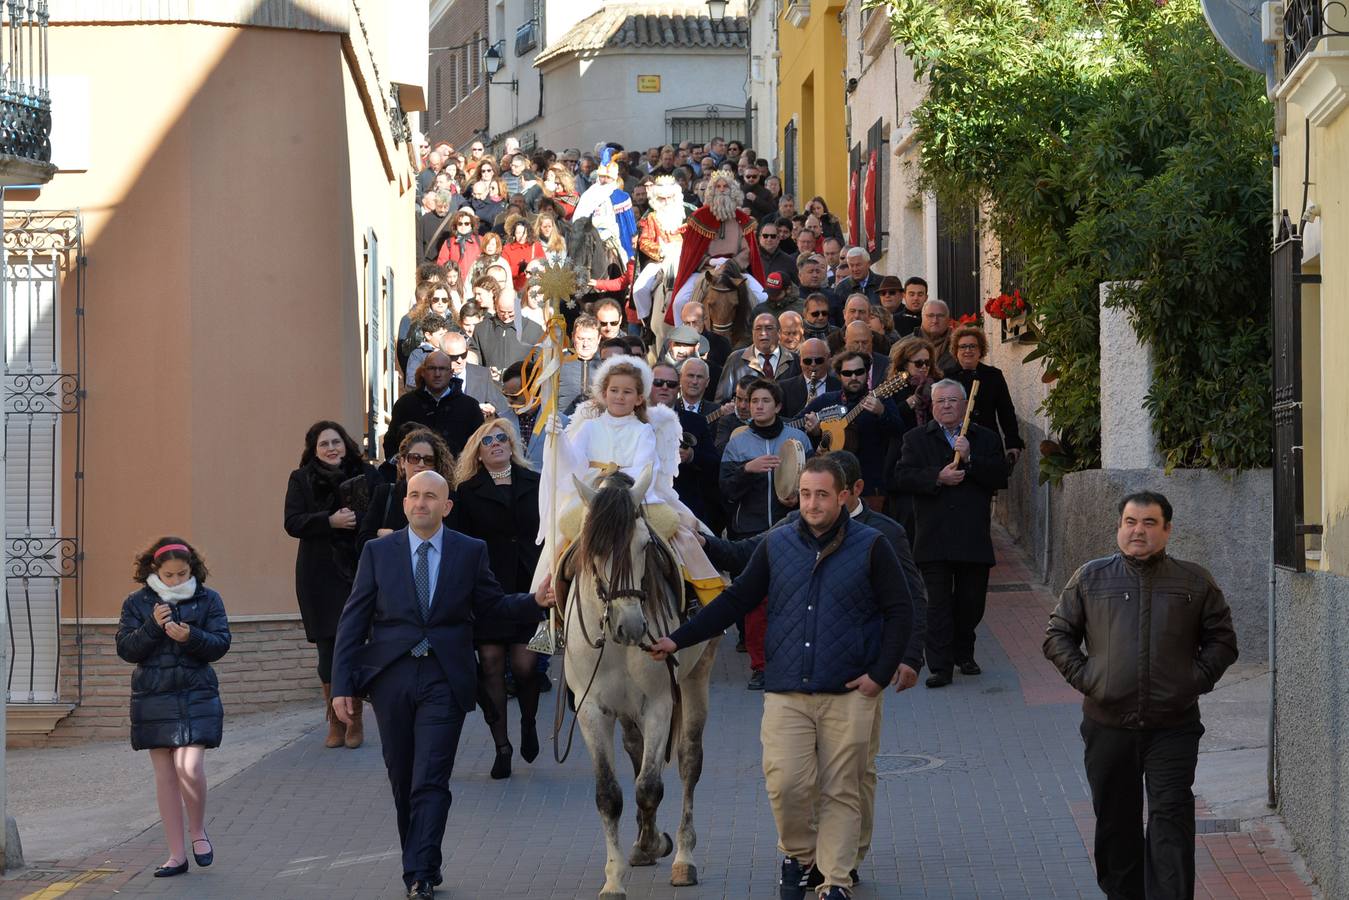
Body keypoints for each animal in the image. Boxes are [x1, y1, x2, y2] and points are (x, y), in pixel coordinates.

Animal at [558, 469, 723, 895]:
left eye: (645, 545)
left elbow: (649, 786)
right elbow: (609, 795)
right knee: (635, 749)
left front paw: (658, 845)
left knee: (688, 761)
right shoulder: (591, 709)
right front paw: (615, 878)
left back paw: (682, 855)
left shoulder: (660, 704)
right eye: (594, 547)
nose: (631, 626)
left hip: (696, 678)